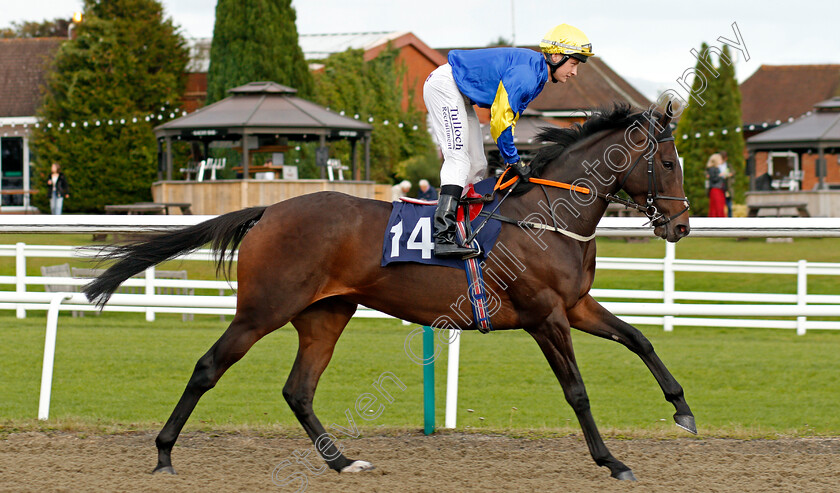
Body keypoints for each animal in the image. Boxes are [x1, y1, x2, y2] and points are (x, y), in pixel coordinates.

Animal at [83, 102, 696, 478]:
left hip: (326, 314)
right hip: (263, 309)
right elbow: (577, 392)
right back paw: (164, 454)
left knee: (298, 390)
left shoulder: (575, 305)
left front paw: (682, 410)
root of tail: (268, 211)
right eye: (668, 161)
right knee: (209, 367)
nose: (681, 225)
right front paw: (612, 460)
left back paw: (341, 462)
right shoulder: (546, 315)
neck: (545, 216)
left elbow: (639, 339)